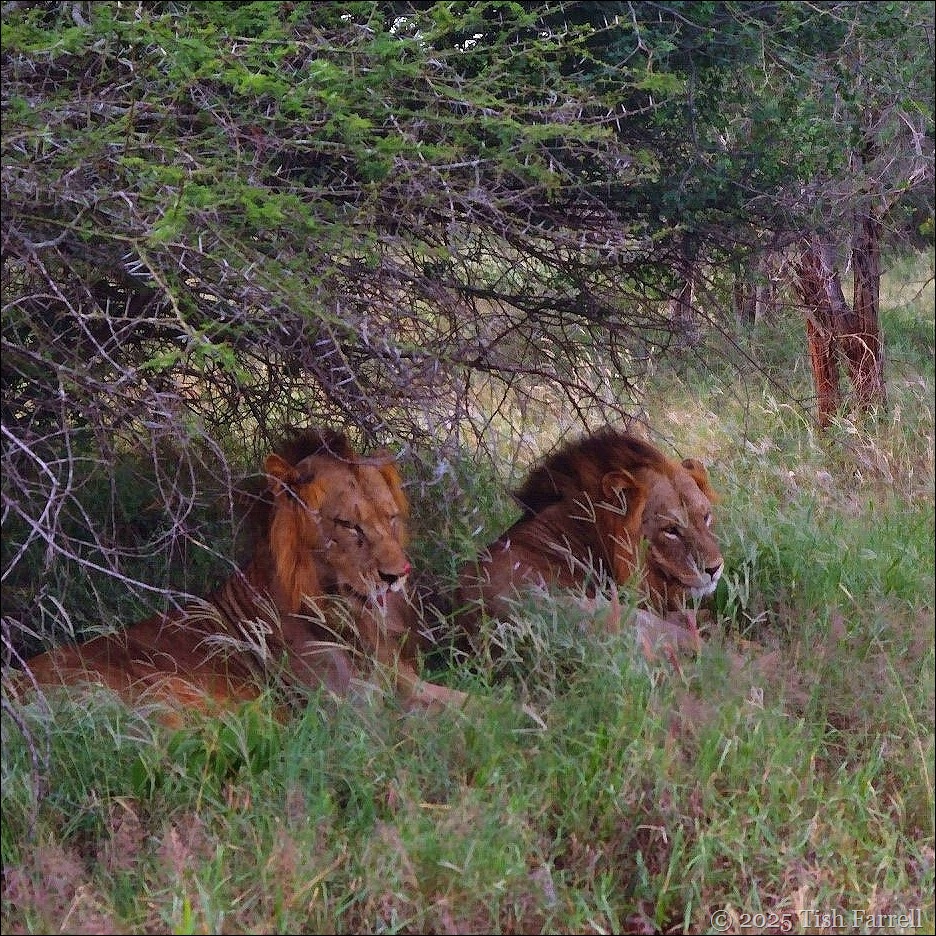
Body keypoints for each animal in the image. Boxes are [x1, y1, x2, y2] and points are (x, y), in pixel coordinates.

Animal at [15, 428, 467, 717]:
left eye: (390, 518)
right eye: (347, 525)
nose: (398, 574)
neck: (345, 617)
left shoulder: (404, 682)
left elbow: (474, 703)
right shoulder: (353, 711)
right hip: (164, 691)